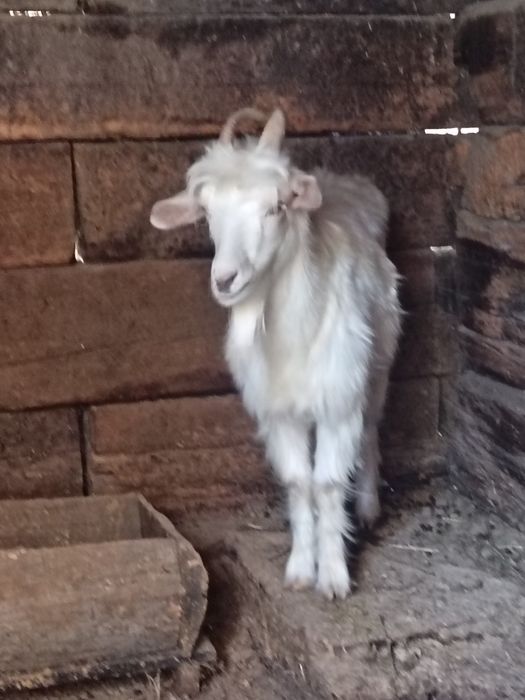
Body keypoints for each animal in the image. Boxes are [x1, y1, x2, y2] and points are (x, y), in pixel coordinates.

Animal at [150, 108, 402, 599]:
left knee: (371, 430)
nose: (225, 279)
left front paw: (334, 576)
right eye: (207, 213)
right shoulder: (278, 411)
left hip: (377, 366)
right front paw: (303, 568)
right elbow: (299, 483)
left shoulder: (338, 401)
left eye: (276, 207)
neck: (291, 337)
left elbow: (327, 484)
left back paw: (367, 507)